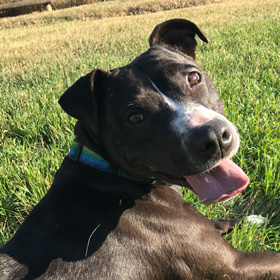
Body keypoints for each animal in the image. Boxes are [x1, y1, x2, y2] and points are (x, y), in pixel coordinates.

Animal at [0, 18, 280, 278]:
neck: (108, 172)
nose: (213, 137)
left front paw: (252, 220)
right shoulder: (233, 265)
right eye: (135, 118)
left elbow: (217, 221)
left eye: (193, 77)